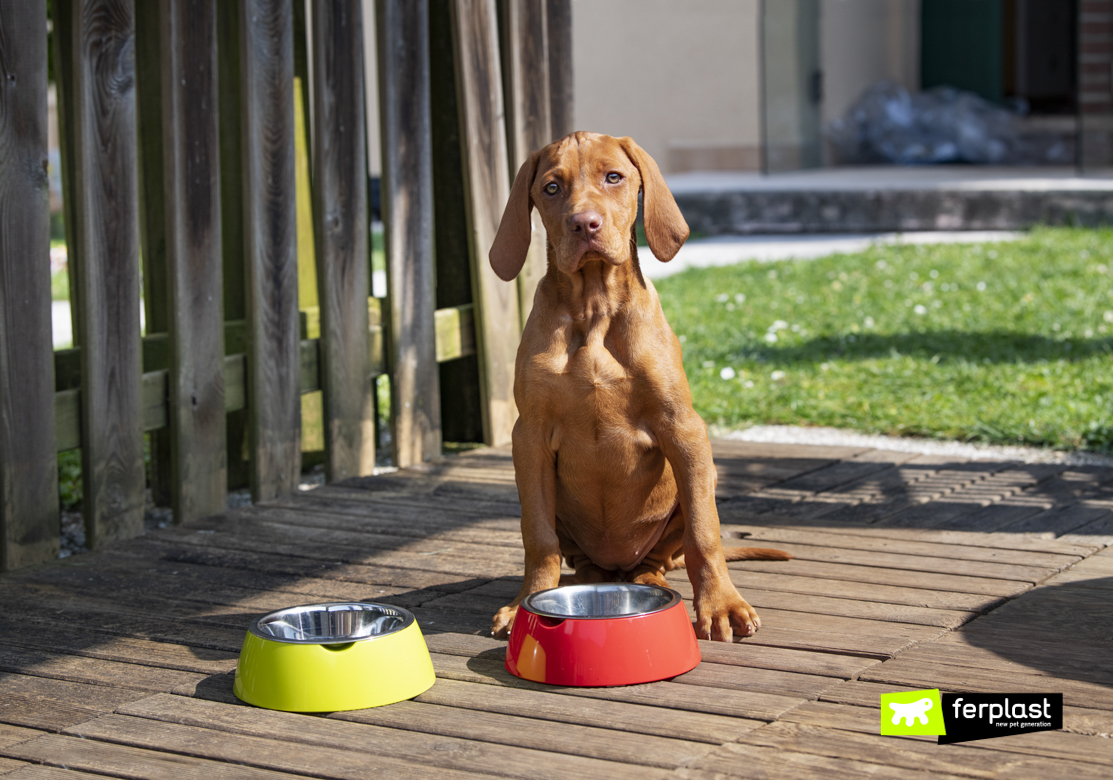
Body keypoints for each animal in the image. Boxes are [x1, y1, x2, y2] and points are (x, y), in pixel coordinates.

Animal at [489, 134, 792, 640]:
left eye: (613, 177)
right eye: (551, 187)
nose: (584, 224)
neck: (594, 307)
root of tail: (619, 566)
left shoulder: (684, 429)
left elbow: (705, 533)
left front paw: (721, 605)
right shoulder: (528, 437)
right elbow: (537, 535)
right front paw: (524, 604)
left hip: (693, 485)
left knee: (665, 556)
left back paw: (650, 579)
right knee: (583, 561)